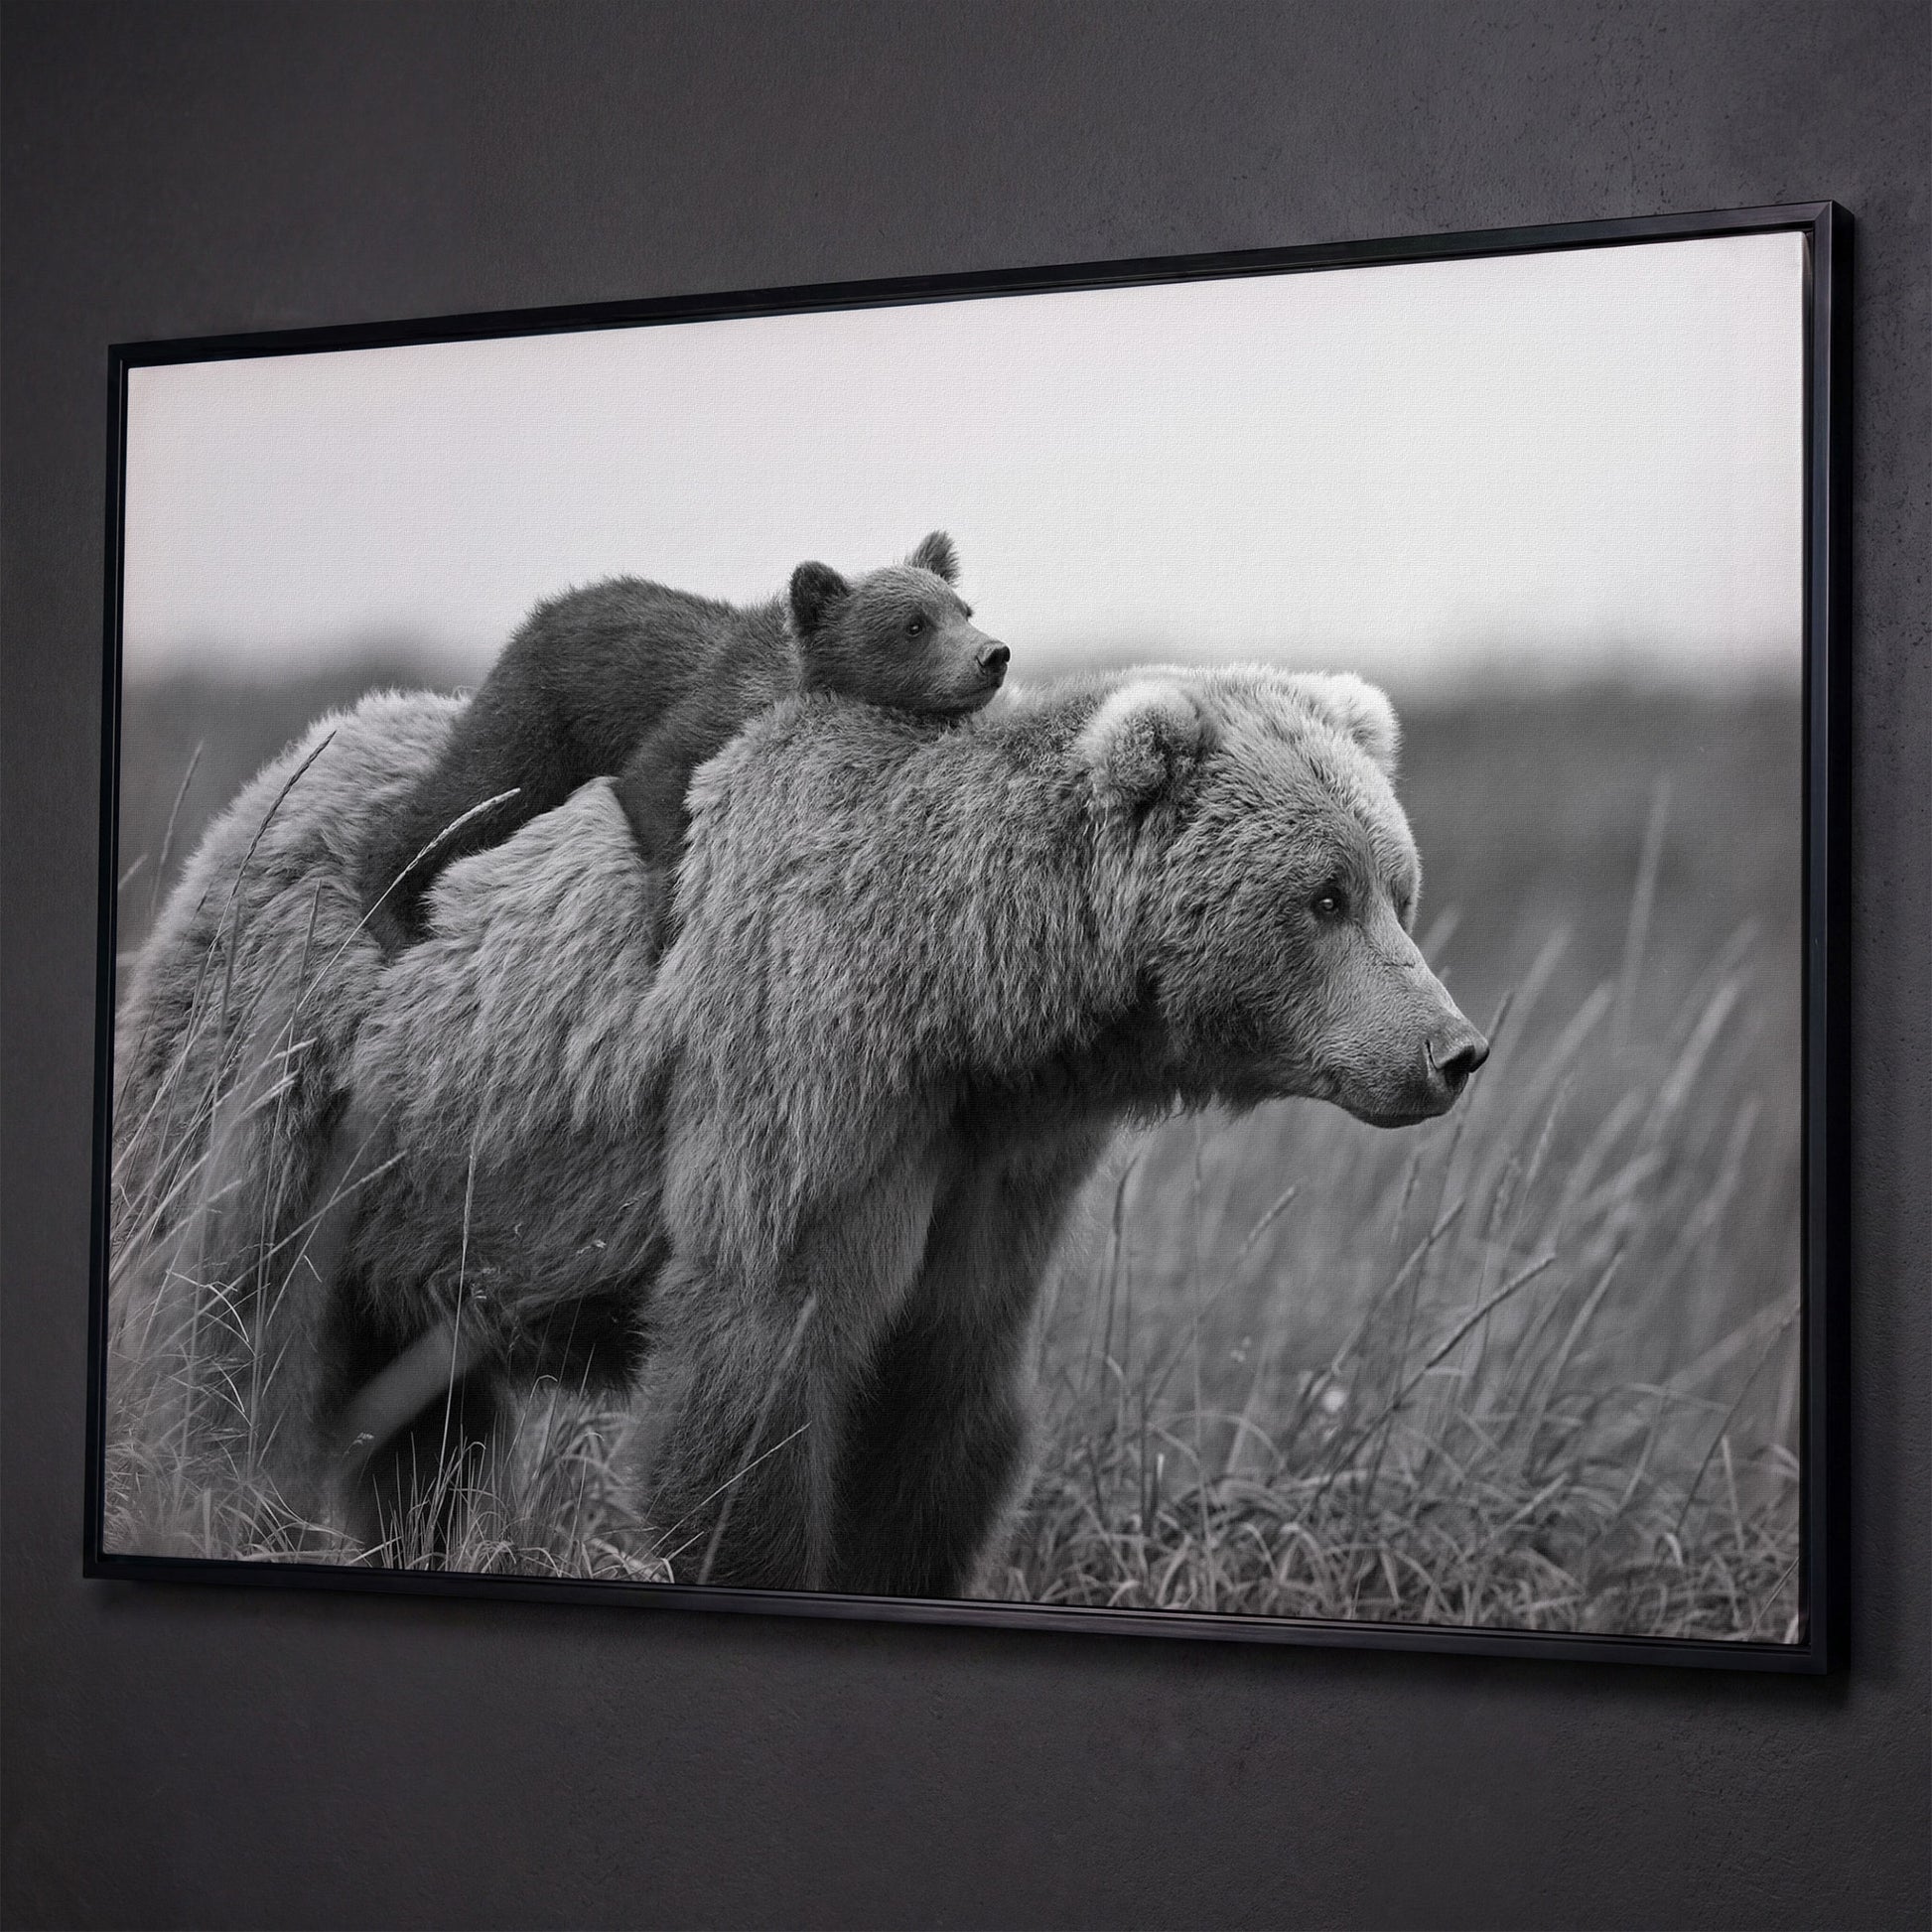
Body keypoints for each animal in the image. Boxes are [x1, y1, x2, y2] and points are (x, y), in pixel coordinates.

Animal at [315, 662, 1488, 1591]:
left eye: (1397, 888)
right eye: (1323, 896)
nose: (1453, 1049)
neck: (961, 999)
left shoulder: (994, 1166)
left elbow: (942, 1409)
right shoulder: (803, 1088)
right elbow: (754, 1375)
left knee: (421, 1438)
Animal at [358, 530, 1008, 951]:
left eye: (964, 609)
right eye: (914, 626)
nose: (992, 655)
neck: (783, 682)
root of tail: (533, 618)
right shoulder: (704, 714)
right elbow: (655, 783)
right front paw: (668, 922)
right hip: (538, 718)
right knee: (471, 794)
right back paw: (392, 909)